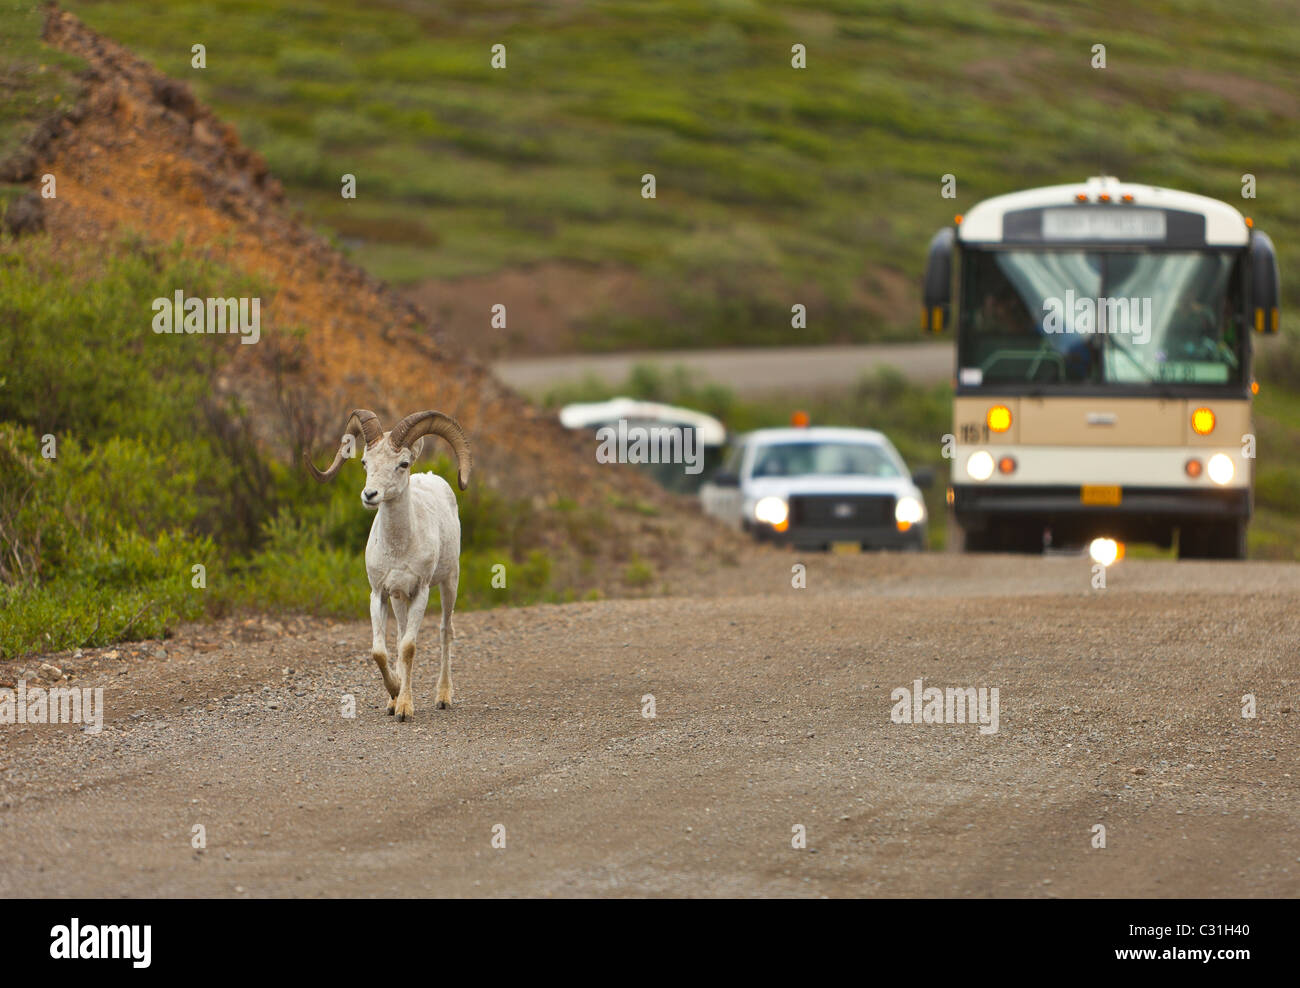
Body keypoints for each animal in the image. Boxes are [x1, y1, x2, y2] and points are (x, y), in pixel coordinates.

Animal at [306, 408, 471, 721]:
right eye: (364, 462)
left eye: (402, 464)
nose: (370, 495)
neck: (398, 548)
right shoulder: (380, 594)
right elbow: (381, 651)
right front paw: (394, 696)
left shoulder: (420, 593)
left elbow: (409, 647)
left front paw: (405, 708)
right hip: (399, 599)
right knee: (400, 635)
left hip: (449, 583)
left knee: (446, 632)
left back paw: (443, 697)